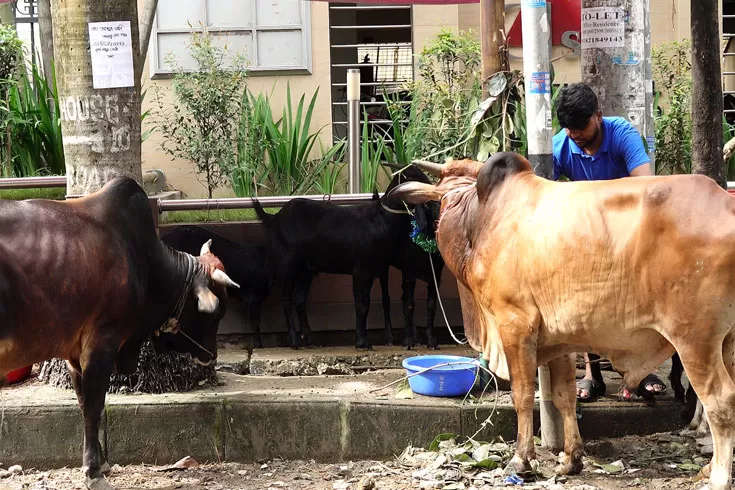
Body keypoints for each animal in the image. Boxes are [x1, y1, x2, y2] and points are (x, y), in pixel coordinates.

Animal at [0, 177, 237, 490]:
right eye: (217, 312)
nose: (211, 356)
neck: (143, 262)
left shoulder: (74, 354)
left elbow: (85, 405)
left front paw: (102, 463)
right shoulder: (101, 344)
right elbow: (93, 408)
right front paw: (93, 472)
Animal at [253, 167, 436, 350]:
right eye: (415, 178)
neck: (382, 219)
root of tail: (273, 217)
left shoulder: (372, 270)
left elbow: (366, 302)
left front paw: (362, 340)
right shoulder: (361, 269)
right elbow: (361, 305)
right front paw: (362, 342)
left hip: (306, 269)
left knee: (299, 300)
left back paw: (309, 339)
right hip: (287, 265)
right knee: (286, 300)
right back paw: (294, 340)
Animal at [394, 153, 735, 490]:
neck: (481, 217)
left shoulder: (514, 325)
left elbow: (522, 395)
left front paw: (522, 461)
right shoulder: (559, 341)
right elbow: (564, 397)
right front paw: (571, 459)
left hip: (694, 339)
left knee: (720, 401)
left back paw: (717, 477)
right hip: (726, 342)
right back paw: (708, 468)